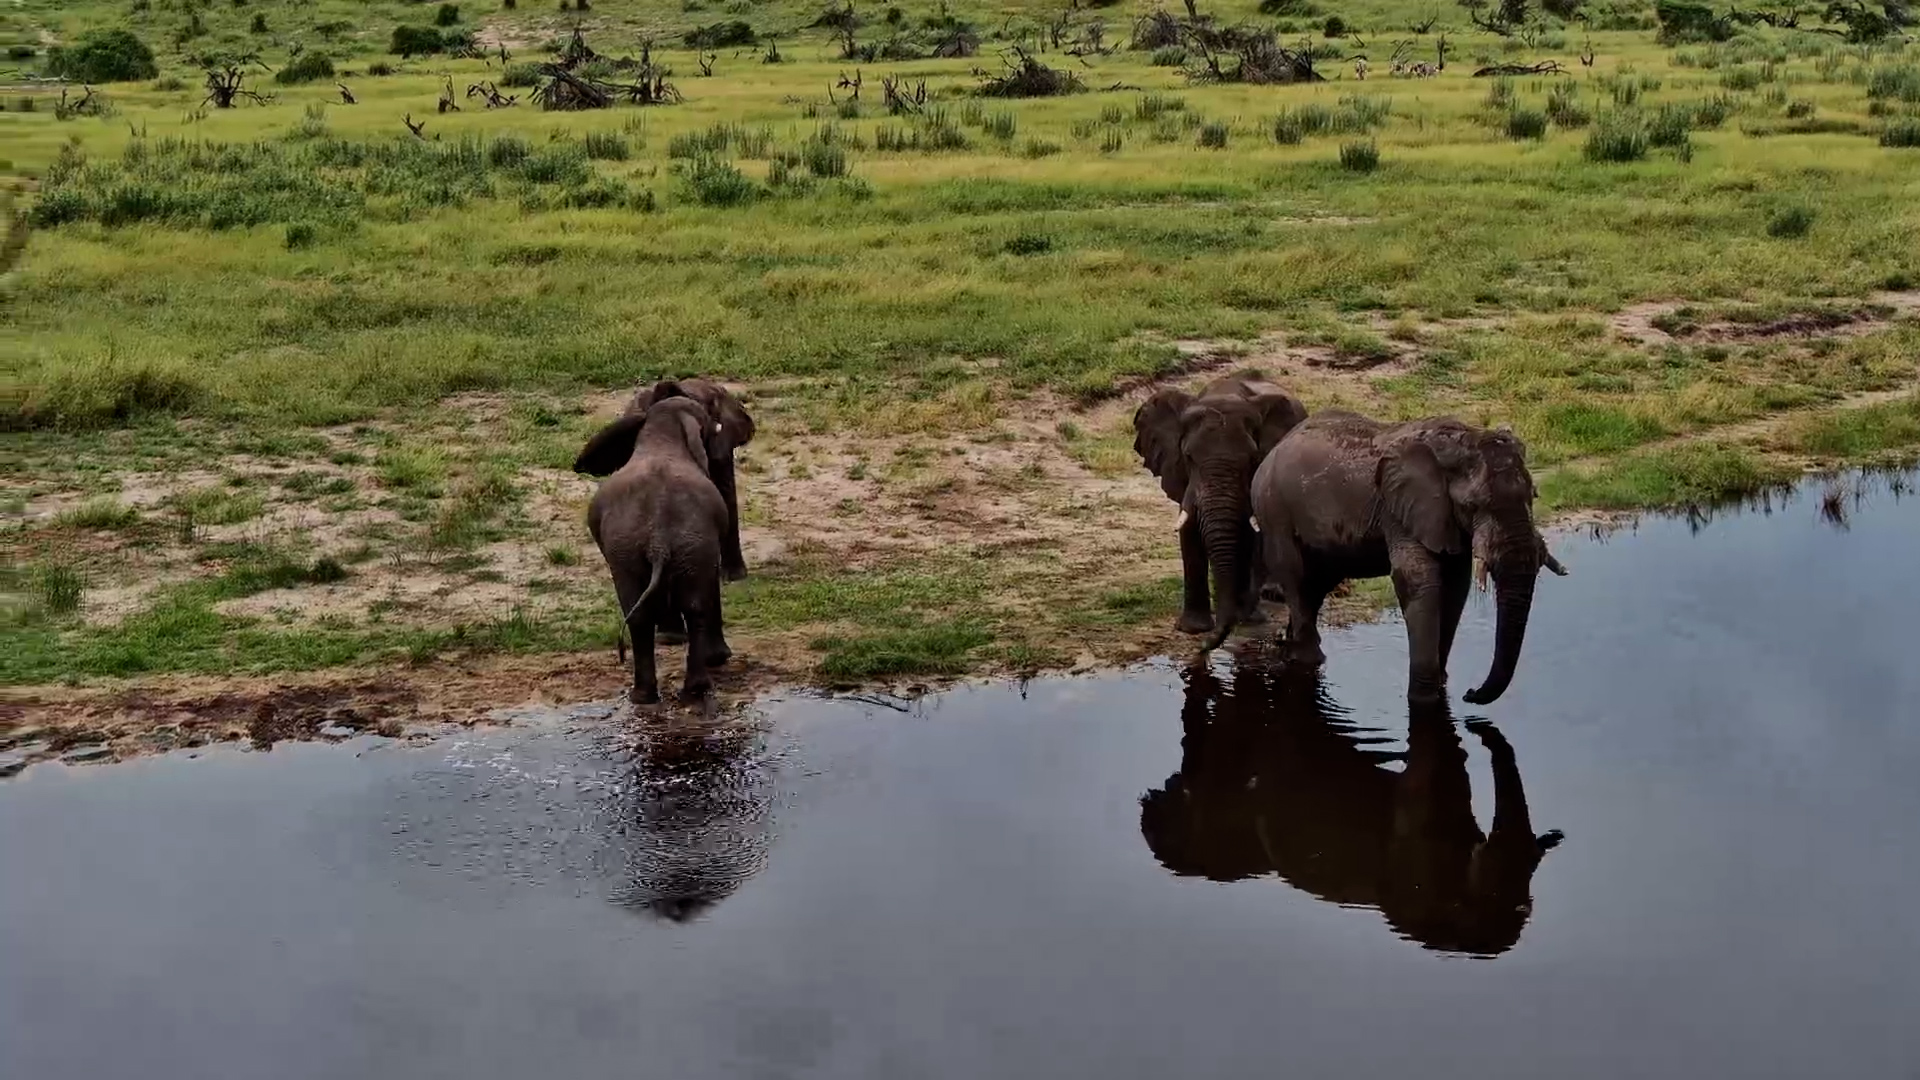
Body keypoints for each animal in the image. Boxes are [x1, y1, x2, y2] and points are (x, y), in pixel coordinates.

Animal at [581, 381, 734, 704]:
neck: (662, 432)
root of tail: (659, 539)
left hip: (633, 550)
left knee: (643, 613)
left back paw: (647, 696)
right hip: (684, 543)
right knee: (693, 605)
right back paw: (692, 689)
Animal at [1133, 371, 1309, 649]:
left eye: (1252, 459)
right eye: (1188, 457)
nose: (1205, 646)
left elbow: (1247, 534)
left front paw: (1247, 618)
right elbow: (1189, 532)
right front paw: (1193, 629)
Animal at [1251, 412, 1567, 705]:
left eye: (1533, 495)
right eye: (1473, 505)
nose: (1470, 693)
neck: (1463, 437)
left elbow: (1455, 586)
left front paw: (1441, 684)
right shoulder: (1401, 509)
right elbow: (1417, 581)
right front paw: (1423, 698)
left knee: (1316, 585)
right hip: (1274, 510)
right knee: (1296, 579)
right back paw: (1309, 659)